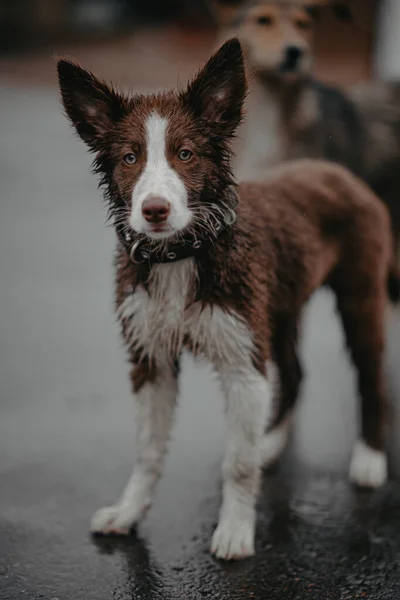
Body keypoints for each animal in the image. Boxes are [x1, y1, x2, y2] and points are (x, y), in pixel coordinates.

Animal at [57, 39, 398, 560]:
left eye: (186, 153)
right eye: (130, 158)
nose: (154, 210)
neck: (181, 254)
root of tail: (339, 171)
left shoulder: (240, 358)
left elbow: (236, 462)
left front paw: (235, 530)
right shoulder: (151, 358)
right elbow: (148, 451)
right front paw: (128, 512)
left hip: (360, 293)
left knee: (371, 377)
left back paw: (369, 459)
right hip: (278, 307)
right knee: (294, 373)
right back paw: (270, 444)